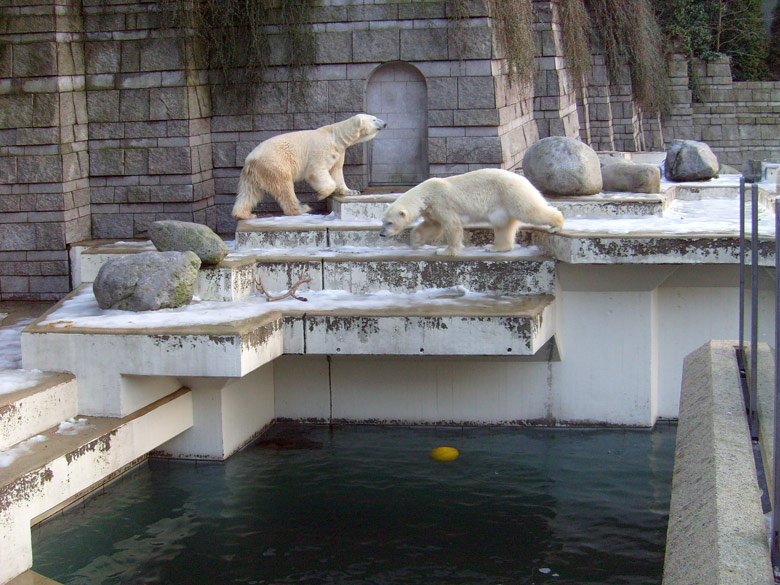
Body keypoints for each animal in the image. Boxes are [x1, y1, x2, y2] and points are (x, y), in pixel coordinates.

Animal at [233, 113, 388, 218]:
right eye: (374, 119)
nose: (385, 123)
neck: (336, 137)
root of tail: (250, 159)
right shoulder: (322, 150)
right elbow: (317, 171)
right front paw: (321, 194)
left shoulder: (339, 153)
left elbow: (337, 172)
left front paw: (351, 191)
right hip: (275, 164)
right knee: (284, 187)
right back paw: (301, 209)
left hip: (254, 173)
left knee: (249, 192)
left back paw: (244, 214)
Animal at [380, 167, 564, 253]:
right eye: (383, 221)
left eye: (389, 223)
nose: (381, 234)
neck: (427, 193)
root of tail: (525, 180)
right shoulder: (431, 209)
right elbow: (434, 226)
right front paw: (416, 240)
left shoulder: (442, 202)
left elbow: (451, 226)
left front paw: (445, 251)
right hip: (502, 205)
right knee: (503, 225)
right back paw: (494, 247)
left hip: (512, 193)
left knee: (529, 210)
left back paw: (556, 225)